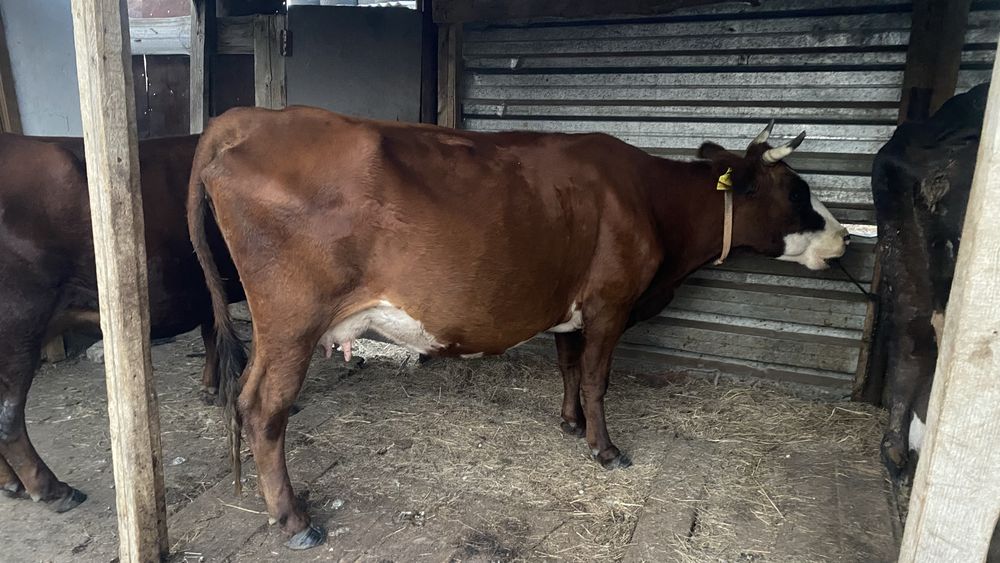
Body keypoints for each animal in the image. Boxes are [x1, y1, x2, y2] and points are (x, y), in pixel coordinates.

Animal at [0, 133, 242, 513]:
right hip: (20, 323)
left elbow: (211, 332)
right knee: (8, 419)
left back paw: (12, 483)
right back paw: (52, 489)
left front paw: (210, 388)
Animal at [187, 109, 849, 549]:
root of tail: (252, 119)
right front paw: (605, 449)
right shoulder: (611, 303)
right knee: (263, 409)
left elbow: (569, 366)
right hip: (292, 323)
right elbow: (598, 378)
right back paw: (295, 520)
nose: (846, 237)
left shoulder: (571, 306)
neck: (648, 198)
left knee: (247, 401)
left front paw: (570, 423)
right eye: (798, 190)